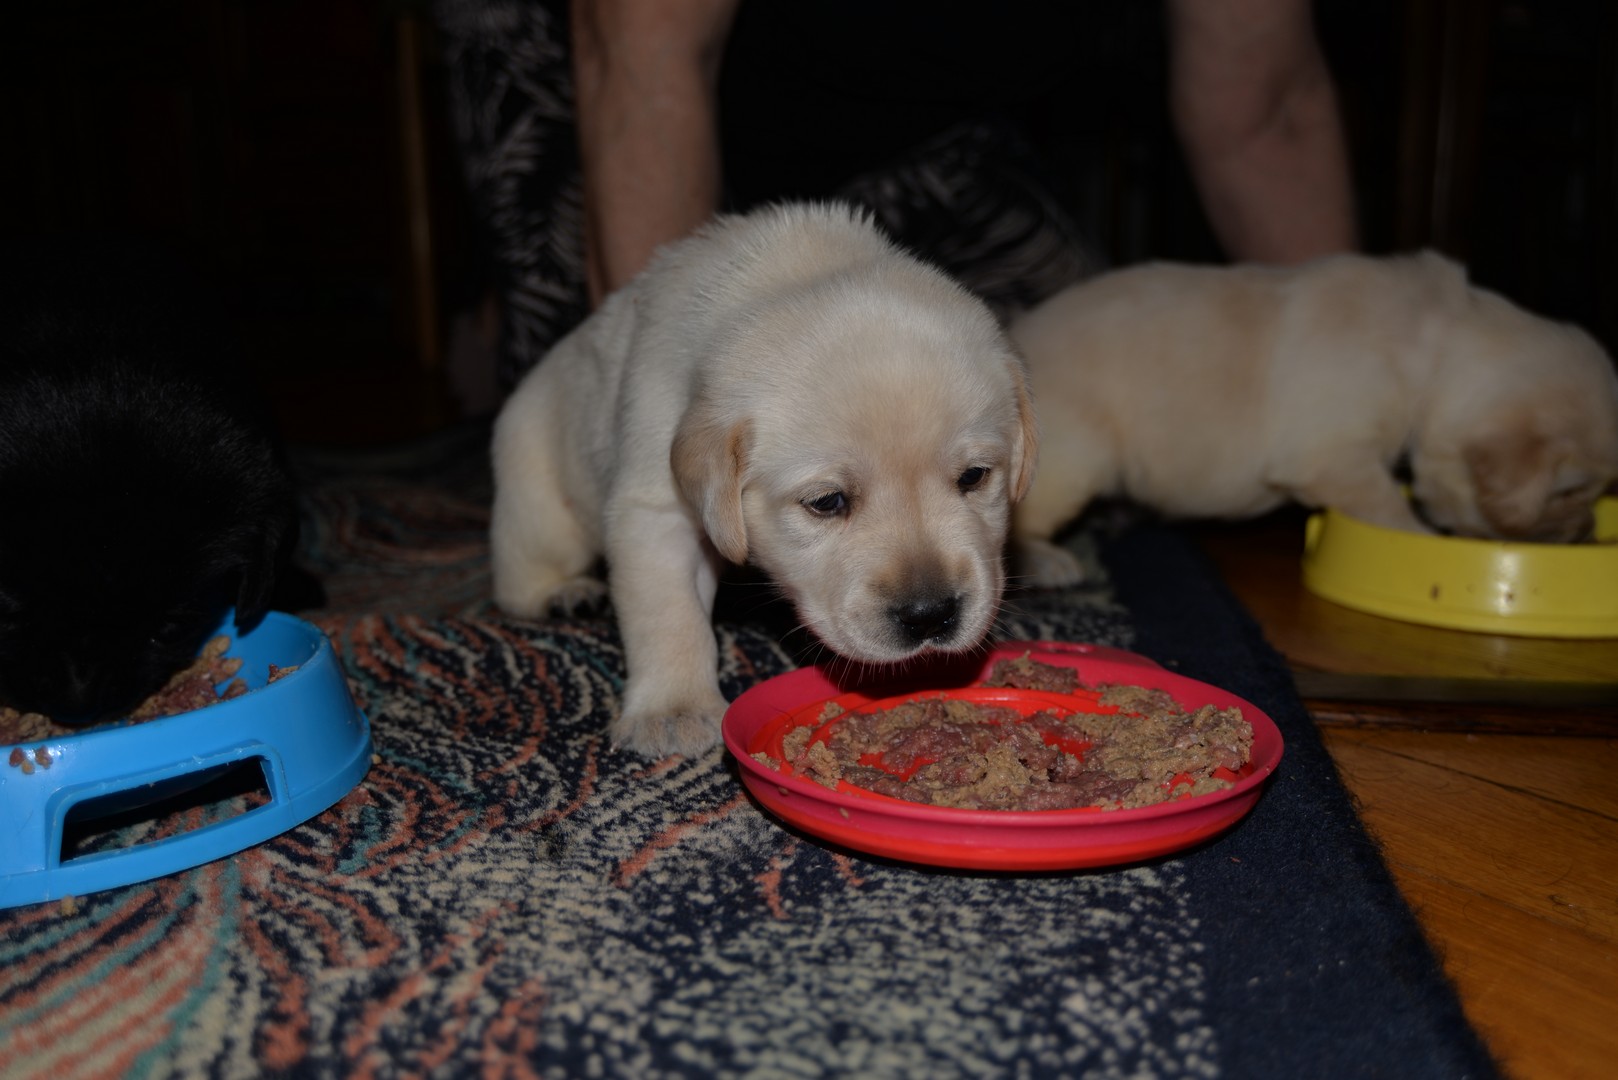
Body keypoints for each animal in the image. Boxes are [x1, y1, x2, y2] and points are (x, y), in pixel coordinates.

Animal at [490, 203, 1038, 757]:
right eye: (826, 501)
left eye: (974, 476)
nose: (929, 615)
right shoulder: (657, 508)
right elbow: (669, 614)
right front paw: (673, 711)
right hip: (535, 489)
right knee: (519, 574)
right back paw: (564, 594)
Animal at [1012, 251, 1618, 586]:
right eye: (1568, 491)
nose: (1586, 533)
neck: (1437, 342)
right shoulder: (1331, 455)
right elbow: (1388, 507)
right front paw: (1420, 539)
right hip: (1079, 459)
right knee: (1028, 522)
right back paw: (1048, 560)